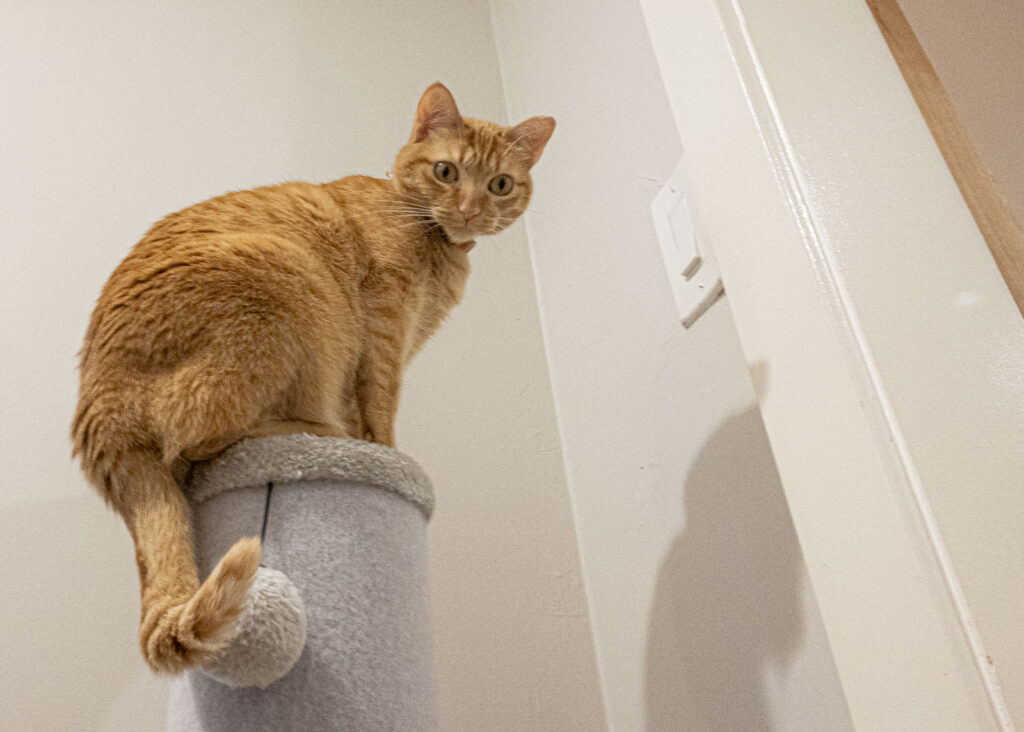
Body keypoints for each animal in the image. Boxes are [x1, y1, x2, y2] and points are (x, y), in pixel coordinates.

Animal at [70, 82, 552, 671]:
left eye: (499, 184)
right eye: (446, 171)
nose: (469, 209)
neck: (431, 237)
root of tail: (98, 412)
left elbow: (361, 404)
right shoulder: (385, 327)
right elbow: (382, 405)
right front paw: (385, 456)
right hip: (284, 274)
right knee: (196, 440)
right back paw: (314, 434)